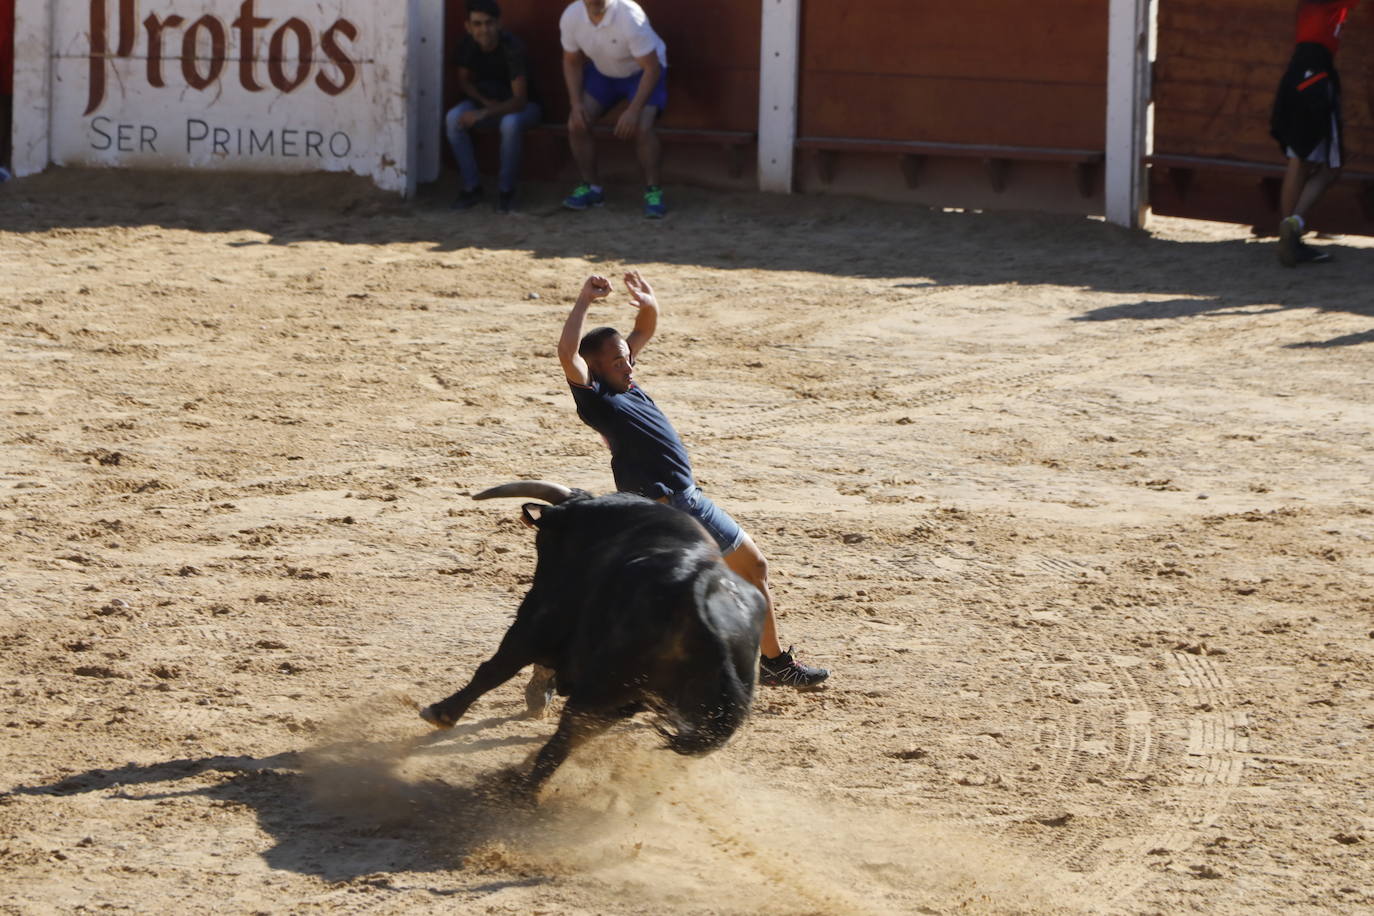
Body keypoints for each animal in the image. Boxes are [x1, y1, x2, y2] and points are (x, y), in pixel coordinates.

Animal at [417, 483, 769, 791]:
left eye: (546, 537)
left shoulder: (538, 620)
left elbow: (494, 670)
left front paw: (441, 713)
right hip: (631, 699)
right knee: (575, 736)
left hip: (599, 682)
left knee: (565, 734)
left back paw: (522, 793)